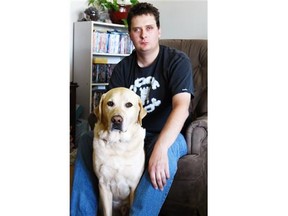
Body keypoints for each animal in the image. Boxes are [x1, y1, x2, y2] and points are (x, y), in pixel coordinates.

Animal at [92, 87, 146, 215]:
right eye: (110, 103)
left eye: (129, 105)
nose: (117, 120)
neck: (118, 144)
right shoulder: (104, 185)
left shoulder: (134, 186)